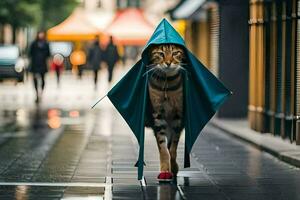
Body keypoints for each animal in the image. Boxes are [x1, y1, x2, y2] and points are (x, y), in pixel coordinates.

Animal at [146, 43, 185, 178]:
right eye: (161, 54)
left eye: (175, 53)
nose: (168, 63)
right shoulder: (158, 116)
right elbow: (163, 148)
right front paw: (165, 169)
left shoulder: (178, 116)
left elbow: (173, 148)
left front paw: (172, 167)